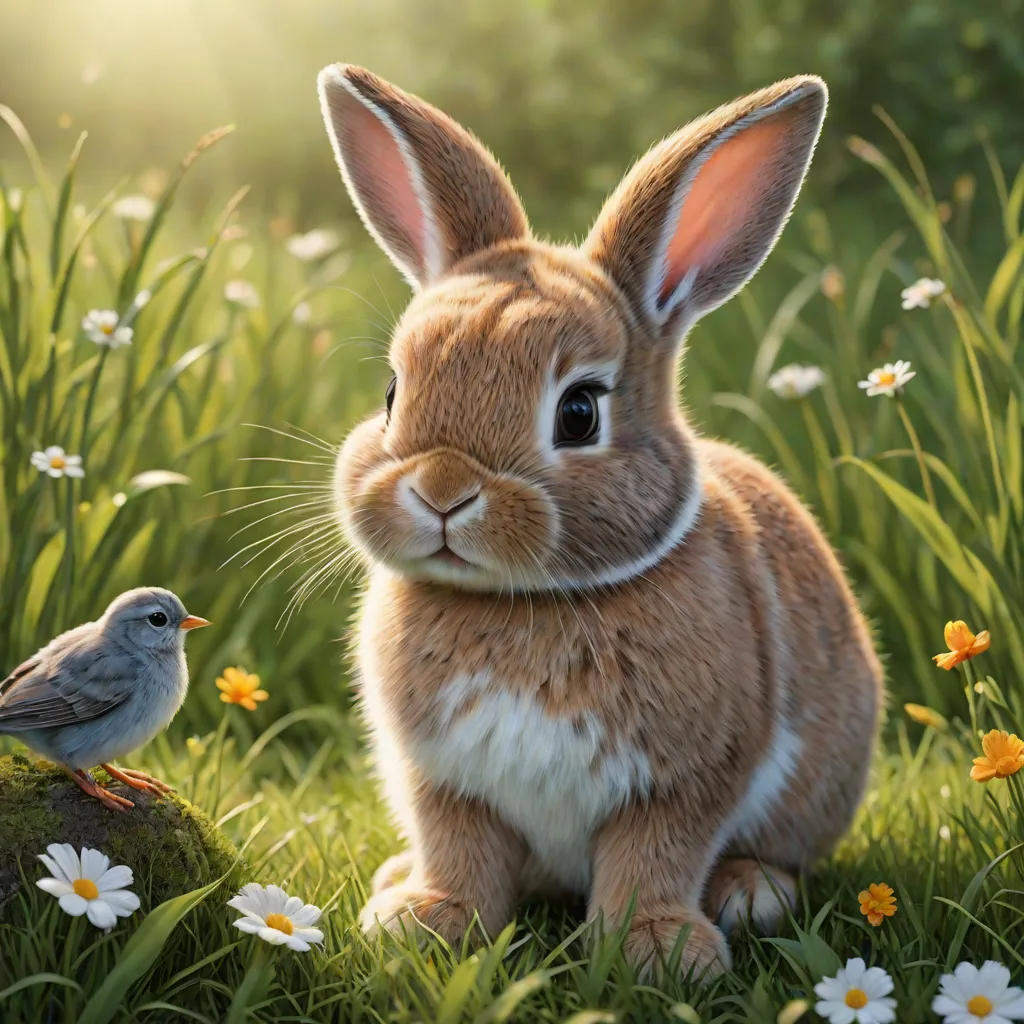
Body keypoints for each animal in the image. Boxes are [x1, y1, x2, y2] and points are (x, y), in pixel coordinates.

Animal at [317, 63, 883, 980]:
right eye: (393, 393)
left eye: (579, 413)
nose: (442, 488)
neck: (525, 604)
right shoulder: (444, 779)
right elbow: (461, 849)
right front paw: (426, 922)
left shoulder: (685, 779)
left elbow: (654, 854)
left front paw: (655, 949)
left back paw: (750, 893)